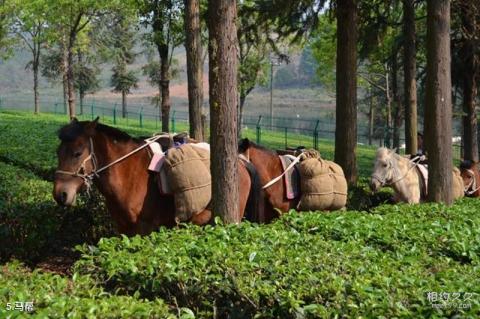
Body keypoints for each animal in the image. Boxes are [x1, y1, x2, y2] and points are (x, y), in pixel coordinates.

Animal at [53, 119, 251, 236]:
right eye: (58, 152)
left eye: (77, 153)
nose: (60, 194)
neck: (128, 174)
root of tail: (242, 164)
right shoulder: (123, 228)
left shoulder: (146, 228)